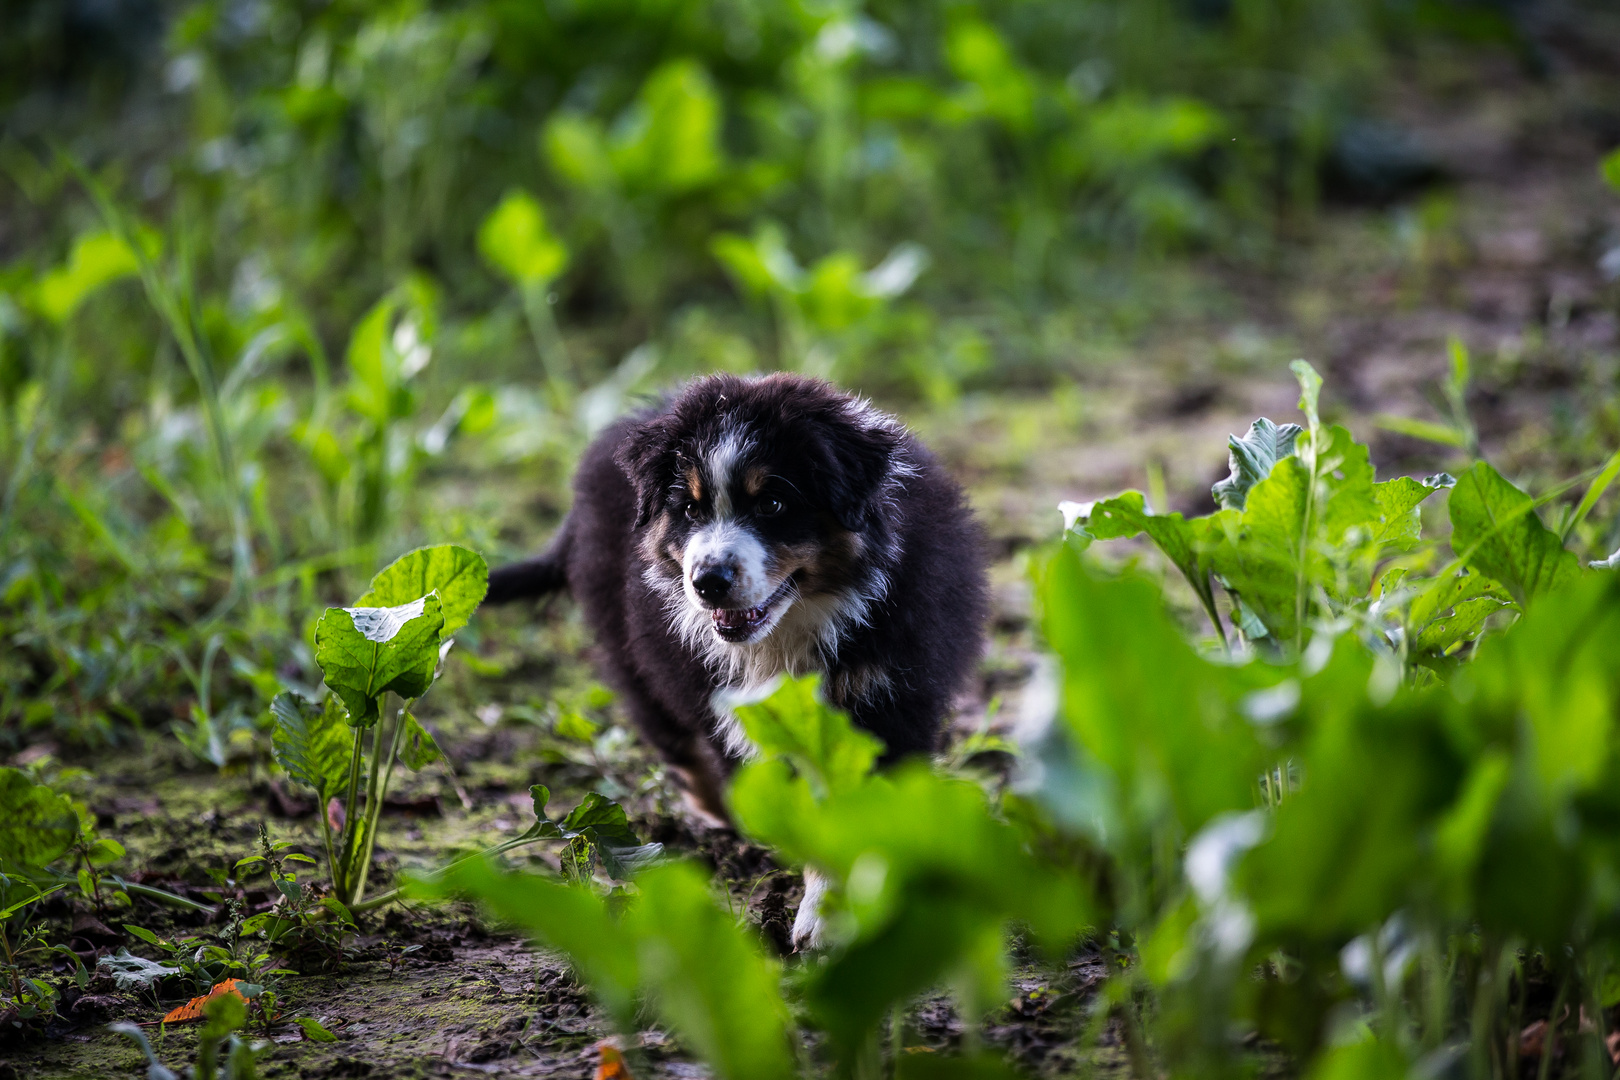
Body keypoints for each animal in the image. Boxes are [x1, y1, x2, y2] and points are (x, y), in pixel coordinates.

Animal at [479, 374, 984, 945]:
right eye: (691, 510)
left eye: (773, 505)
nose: (708, 582)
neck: (791, 630)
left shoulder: (889, 696)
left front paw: (835, 910)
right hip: (630, 645)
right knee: (673, 735)